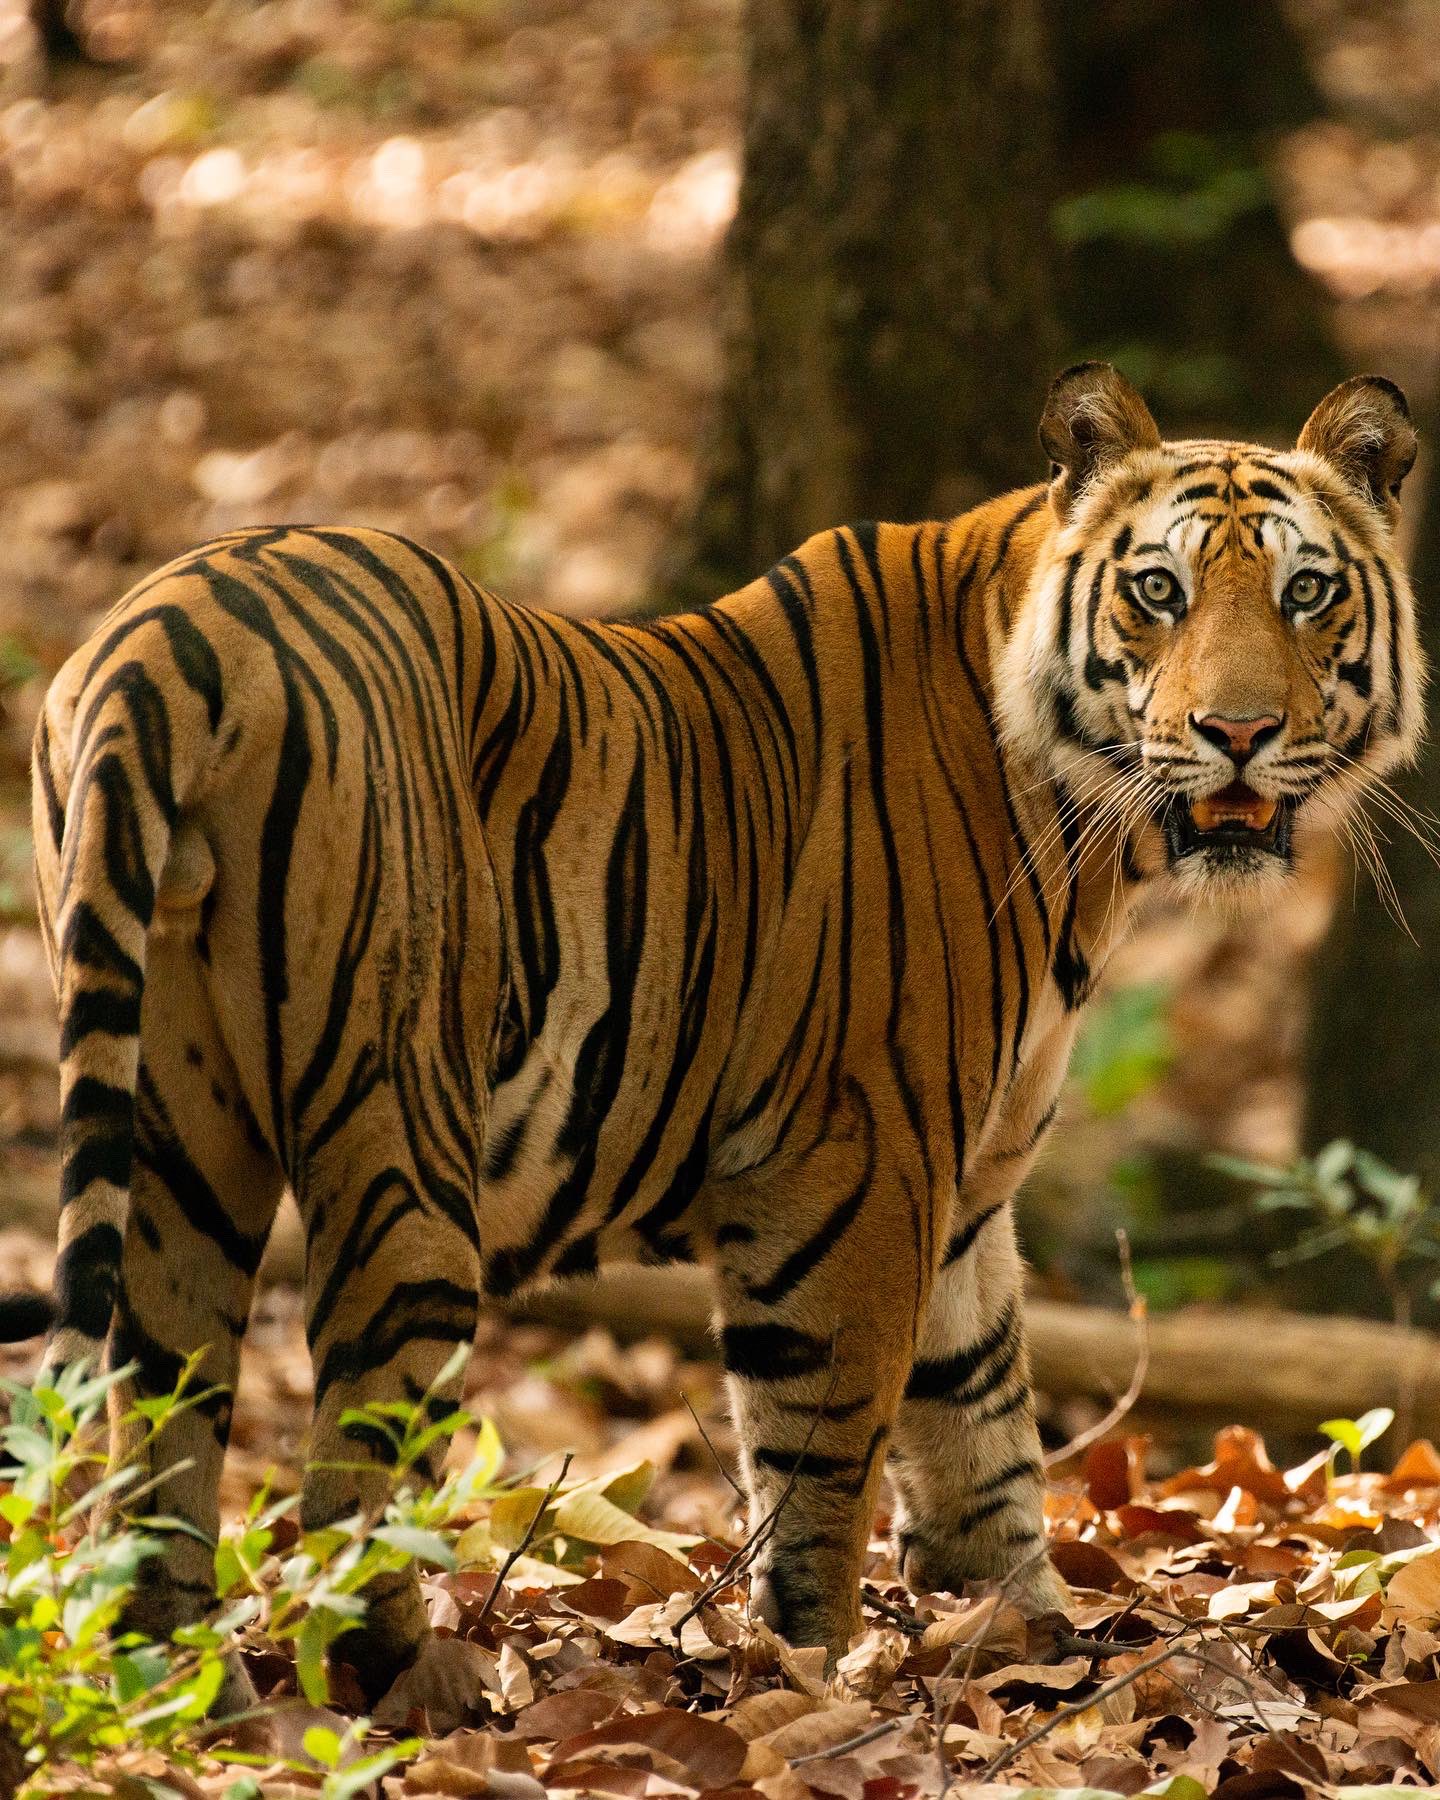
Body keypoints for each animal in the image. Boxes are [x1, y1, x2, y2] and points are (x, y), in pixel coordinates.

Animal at [0, 363, 1421, 1703]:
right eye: (1157, 592)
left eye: (1305, 592)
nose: (1238, 733)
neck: (1085, 836)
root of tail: (166, 636)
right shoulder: (857, 1172)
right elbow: (824, 1466)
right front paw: (813, 1676)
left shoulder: (964, 1196)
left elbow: (984, 1438)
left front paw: (1032, 1654)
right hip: (399, 1134)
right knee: (349, 1465)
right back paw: (418, 1690)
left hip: (182, 1139)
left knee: (158, 1429)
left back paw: (187, 1683)